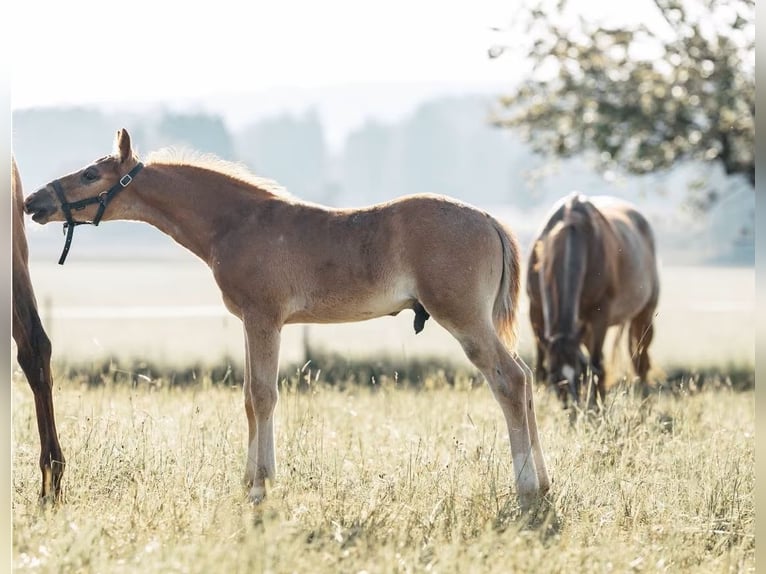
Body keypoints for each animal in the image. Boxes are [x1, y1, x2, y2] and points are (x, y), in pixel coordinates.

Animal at [24, 128, 550, 509]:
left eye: (91, 174)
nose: (33, 202)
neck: (237, 222)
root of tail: (490, 220)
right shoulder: (250, 321)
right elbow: (249, 399)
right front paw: (252, 481)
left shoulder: (264, 318)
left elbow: (264, 395)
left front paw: (260, 488)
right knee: (524, 378)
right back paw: (544, 485)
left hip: (463, 318)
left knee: (509, 381)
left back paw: (527, 490)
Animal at [526, 192, 660, 409]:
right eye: (555, 377)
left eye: (580, 376)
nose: (572, 408)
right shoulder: (535, 310)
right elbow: (540, 364)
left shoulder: (599, 315)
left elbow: (596, 365)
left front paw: (597, 406)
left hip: (644, 315)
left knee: (640, 359)